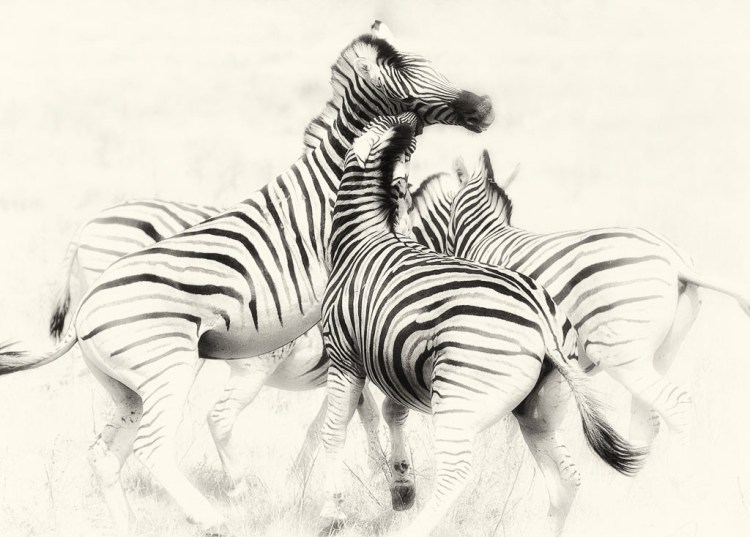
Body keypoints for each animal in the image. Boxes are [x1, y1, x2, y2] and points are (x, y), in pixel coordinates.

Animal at [0, 22, 494, 536]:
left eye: (433, 63)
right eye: (405, 75)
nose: (483, 107)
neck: (344, 178)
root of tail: (84, 313)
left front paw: (394, 482)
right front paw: (383, 484)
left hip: (128, 389)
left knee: (104, 455)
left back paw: (131, 524)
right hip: (167, 368)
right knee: (153, 447)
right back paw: (215, 511)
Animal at [318, 113, 644, 537]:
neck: (362, 237)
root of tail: (543, 322)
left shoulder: (343, 357)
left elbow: (334, 431)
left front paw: (331, 514)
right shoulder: (394, 360)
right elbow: (393, 415)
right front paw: (401, 487)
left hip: (458, 400)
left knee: (456, 474)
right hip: (538, 409)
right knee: (566, 480)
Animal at [409, 150, 750, 449]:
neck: (483, 235)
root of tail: (675, 261)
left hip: (618, 349)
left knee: (675, 404)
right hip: (661, 352)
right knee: (647, 418)